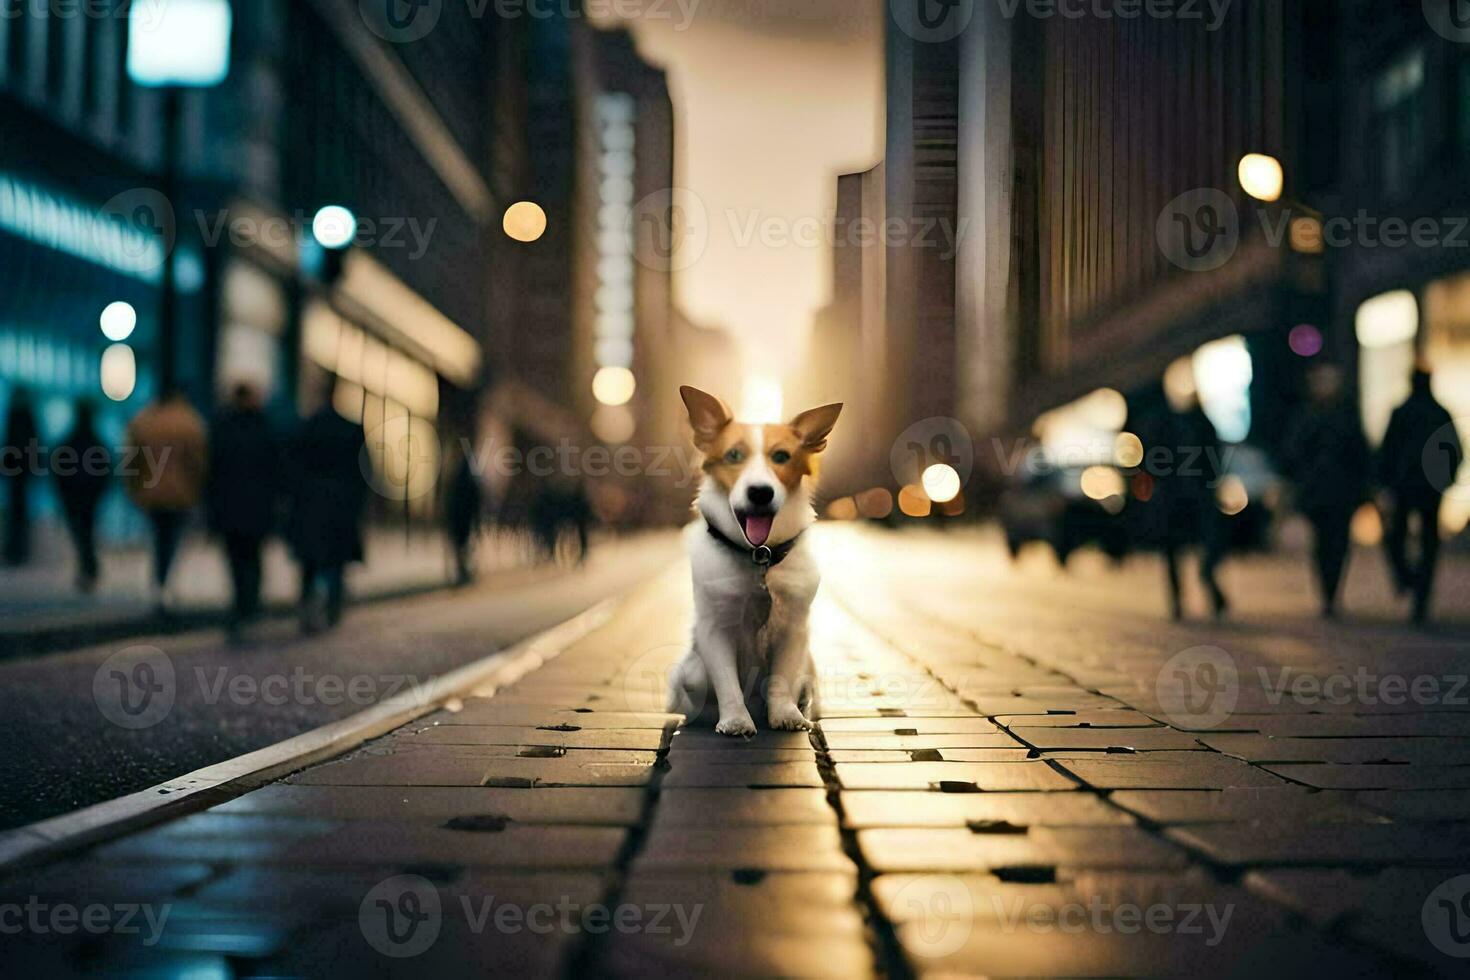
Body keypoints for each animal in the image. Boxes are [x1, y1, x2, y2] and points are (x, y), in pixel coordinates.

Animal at [664, 382, 840, 734]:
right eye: (733, 455)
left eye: (782, 456)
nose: (760, 492)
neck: (760, 556)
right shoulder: (715, 628)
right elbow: (727, 683)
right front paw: (735, 720)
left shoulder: (794, 629)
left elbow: (782, 679)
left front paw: (785, 714)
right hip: (690, 672)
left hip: (809, 666)